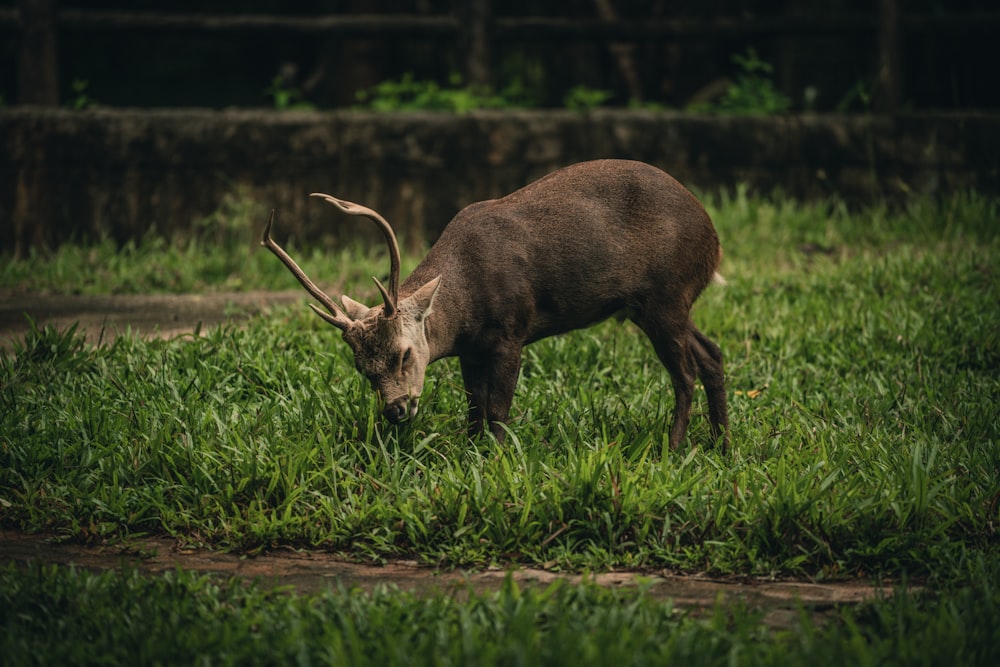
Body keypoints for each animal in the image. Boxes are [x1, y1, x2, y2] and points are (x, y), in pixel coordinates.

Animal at [262, 159, 732, 448]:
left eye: (404, 354)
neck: (466, 304)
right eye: (362, 369)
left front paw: (498, 459)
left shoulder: (511, 330)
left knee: (685, 372)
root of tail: (713, 239)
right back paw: (721, 443)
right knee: (711, 353)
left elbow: (499, 409)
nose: (395, 411)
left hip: (666, 294)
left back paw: (673, 447)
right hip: (657, 305)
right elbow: (475, 407)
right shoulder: (471, 350)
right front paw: (470, 453)